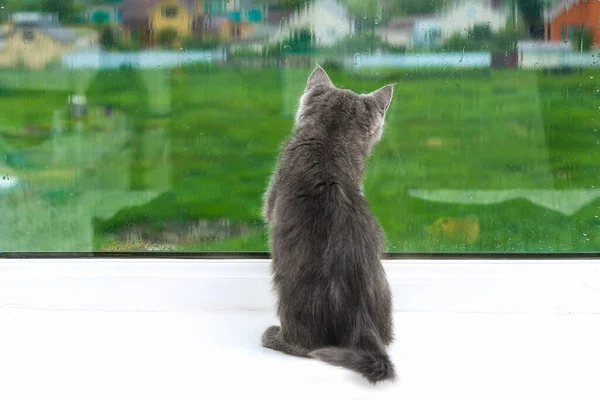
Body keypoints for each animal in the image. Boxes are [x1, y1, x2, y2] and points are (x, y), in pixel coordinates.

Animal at [260, 66, 396, 384]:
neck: (329, 141)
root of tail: (357, 312)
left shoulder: (271, 198)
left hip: (290, 296)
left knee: (306, 346)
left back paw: (274, 337)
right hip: (384, 291)